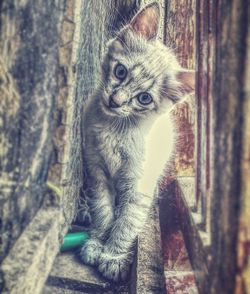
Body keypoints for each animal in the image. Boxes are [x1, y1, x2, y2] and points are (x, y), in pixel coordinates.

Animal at [79, 2, 194, 282]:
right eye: (120, 72)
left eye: (144, 98)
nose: (115, 101)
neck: (114, 129)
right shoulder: (97, 171)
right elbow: (104, 212)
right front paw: (96, 244)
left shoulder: (138, 184)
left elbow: (126, 222)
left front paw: (113, 257)